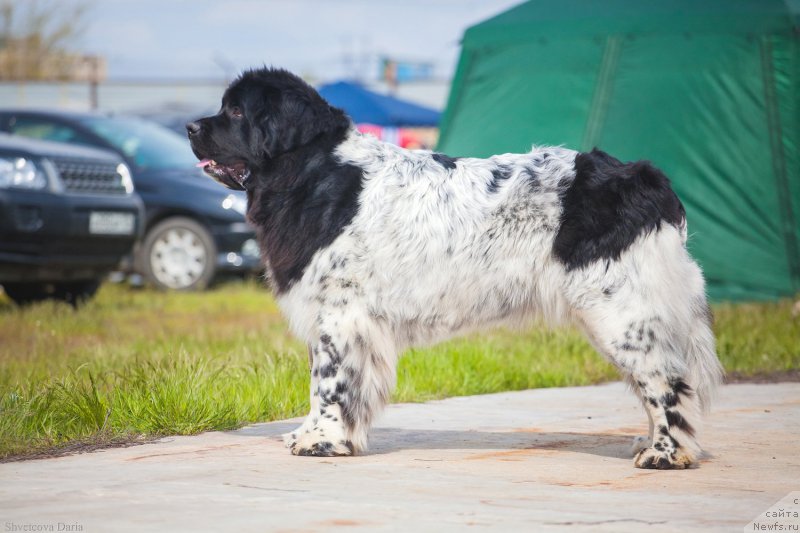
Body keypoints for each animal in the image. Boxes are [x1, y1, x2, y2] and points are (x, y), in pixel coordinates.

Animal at [189, 67, 724, 470]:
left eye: (236, 111)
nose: (192, 128)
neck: (313, 170)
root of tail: (646, 178)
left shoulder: (339, 313)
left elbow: (328, 381)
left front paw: (319, 441)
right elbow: (332, 384)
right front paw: (322, 435)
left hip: (619, 311)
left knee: (666, 380)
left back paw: (665, 454)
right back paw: (651, 443)